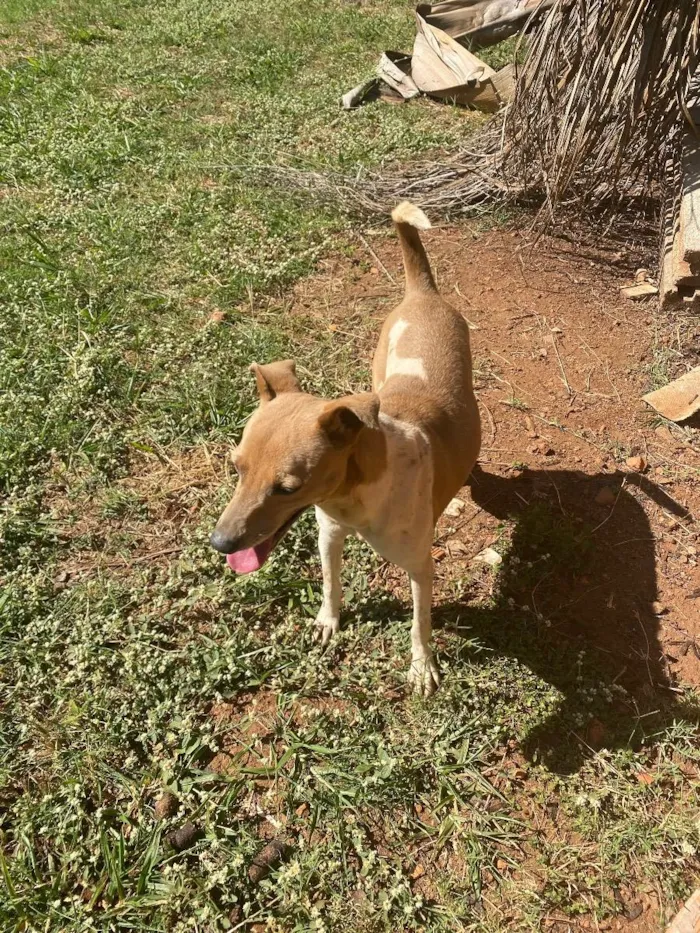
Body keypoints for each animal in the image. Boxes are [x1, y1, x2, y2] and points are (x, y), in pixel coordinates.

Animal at [209, 202, 482, 692]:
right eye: (235, 467)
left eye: (287, 488)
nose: (220, 544)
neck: (355, 497)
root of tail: (423, 293)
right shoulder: (328, 534)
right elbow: (330, 582)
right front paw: (327, 621)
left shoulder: (419, 566)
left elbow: (419, 623)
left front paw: (421, 667)